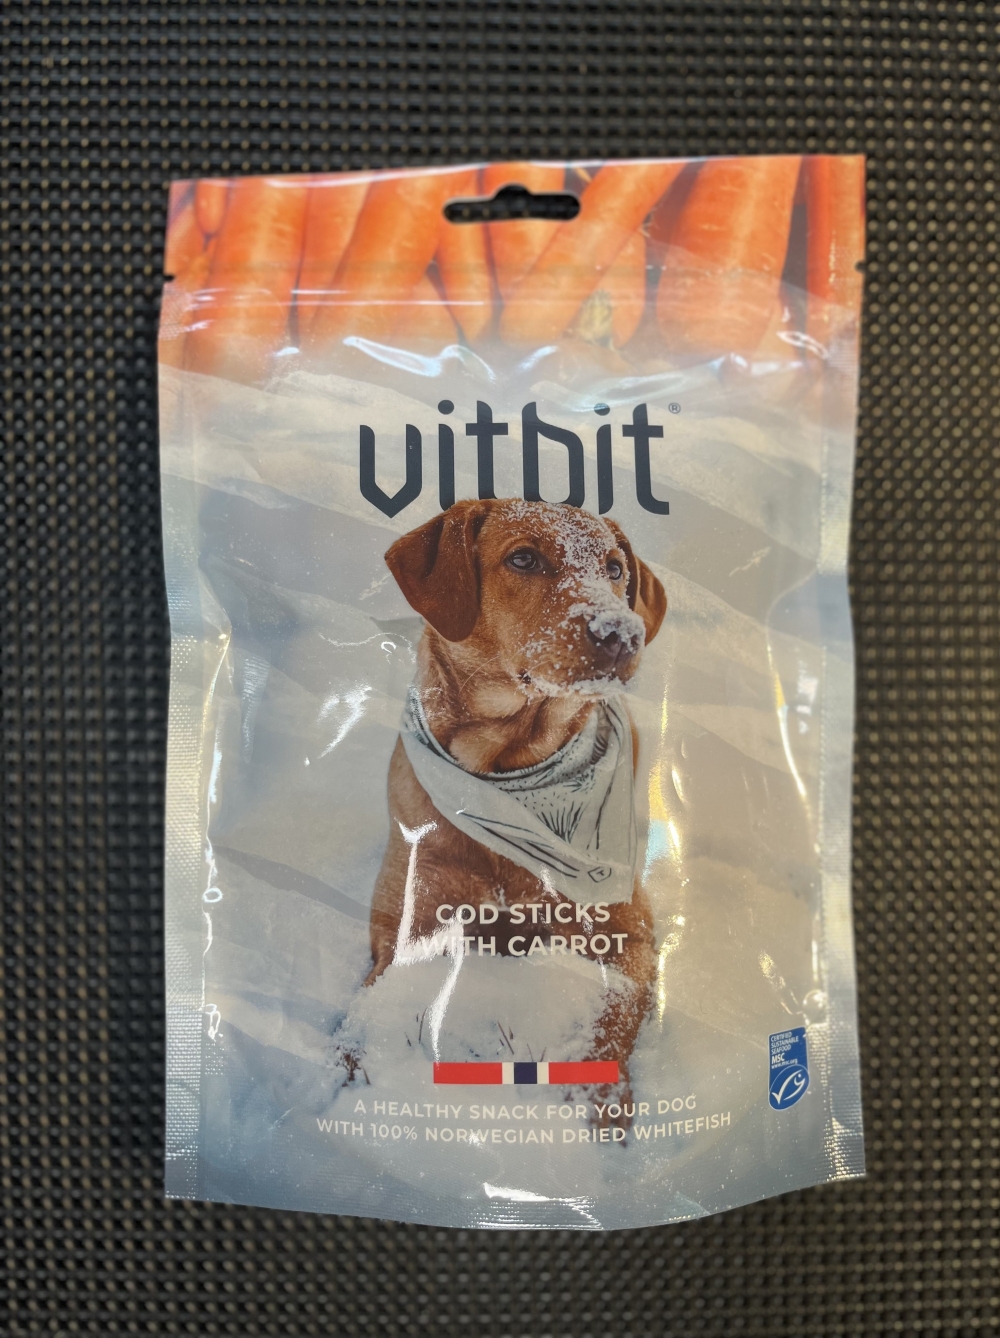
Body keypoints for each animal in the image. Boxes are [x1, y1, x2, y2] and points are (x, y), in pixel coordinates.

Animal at [366, 498, 666, 1091]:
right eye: (524, 559)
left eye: (614, 568)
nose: (622, 633)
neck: (505, 772)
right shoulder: (410, 917)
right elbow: (364, 1023)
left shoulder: (626, 933)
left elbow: (607, 1021)